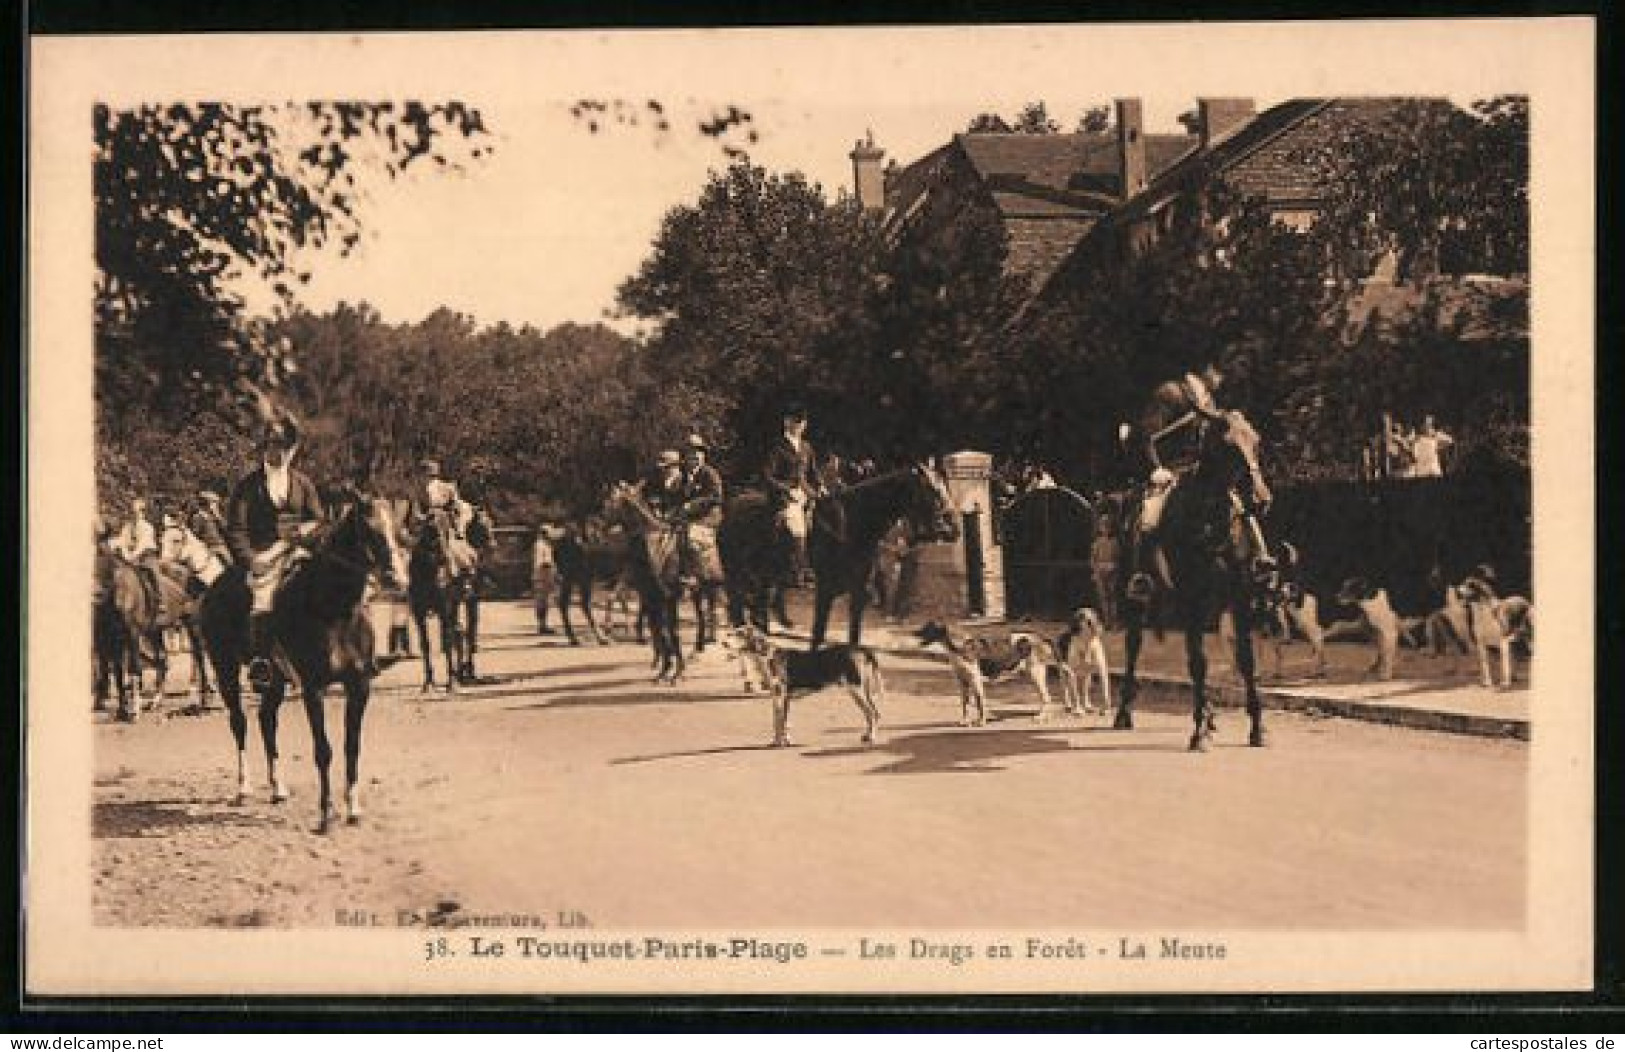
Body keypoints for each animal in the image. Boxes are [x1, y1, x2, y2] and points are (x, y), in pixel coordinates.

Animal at [195, 494, 406, 832]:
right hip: (224, 666)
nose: (396, 578)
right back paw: (243, 788)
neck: (333, 610)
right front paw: (326, 815)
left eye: (397, 529)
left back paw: (278, 789)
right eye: (368, 530)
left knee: (266, 720)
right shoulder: (312, 688)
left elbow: (352, 747)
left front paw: (353, 809)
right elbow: (323, 751)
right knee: (239, 723)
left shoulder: (359, 687)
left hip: (275, 679)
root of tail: (216, 585)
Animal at [718, 461, 955, 647]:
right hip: (735, 573)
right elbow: (818, 633)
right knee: (739, 604)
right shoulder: (824, 589)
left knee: (761, 603)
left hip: (765, 576)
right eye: (932, 489)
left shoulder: (857, 590)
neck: (849, 525)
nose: (950, 526)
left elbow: (853, 636)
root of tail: (733, 505)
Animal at [724, 624, 884, 747]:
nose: (724, 642)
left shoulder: (784, 696)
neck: (767, 657)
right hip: (859, 691)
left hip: (856, 689)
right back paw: (867, 736)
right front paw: (776, 741)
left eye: (740, 633)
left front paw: (785, 742)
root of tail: (861, 649)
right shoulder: (776, 698)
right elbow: (776, 721)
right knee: (872, 713)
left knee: (872, 713)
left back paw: (872, 738)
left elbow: (783, 721)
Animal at [916, 621, 1079, 728]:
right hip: (1035, 674)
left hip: (1035, 673)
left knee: (1047, 698)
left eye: (929, 629)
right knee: (1047, 697)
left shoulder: (975, 681)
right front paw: (966, 721)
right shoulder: (963, 683)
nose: (913, 633)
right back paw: (1046, 717)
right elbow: (965, 704)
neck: (959, 647)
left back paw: (1041, 718)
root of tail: (1040, 636)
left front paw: (981, 722)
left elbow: (980, 703)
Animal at [1118, 408, 1280, 754]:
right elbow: (1198, 663)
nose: (1261, 498)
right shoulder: (1191, 600)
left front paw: (1258, 728)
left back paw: (1210, 715)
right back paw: (1124, 712)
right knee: (1133, 645)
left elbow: (1246, 660)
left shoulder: (1239, 598)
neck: (1209, 521)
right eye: (1229, 445)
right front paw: (1198, 732)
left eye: (1256, 440)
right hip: (1135, 597)